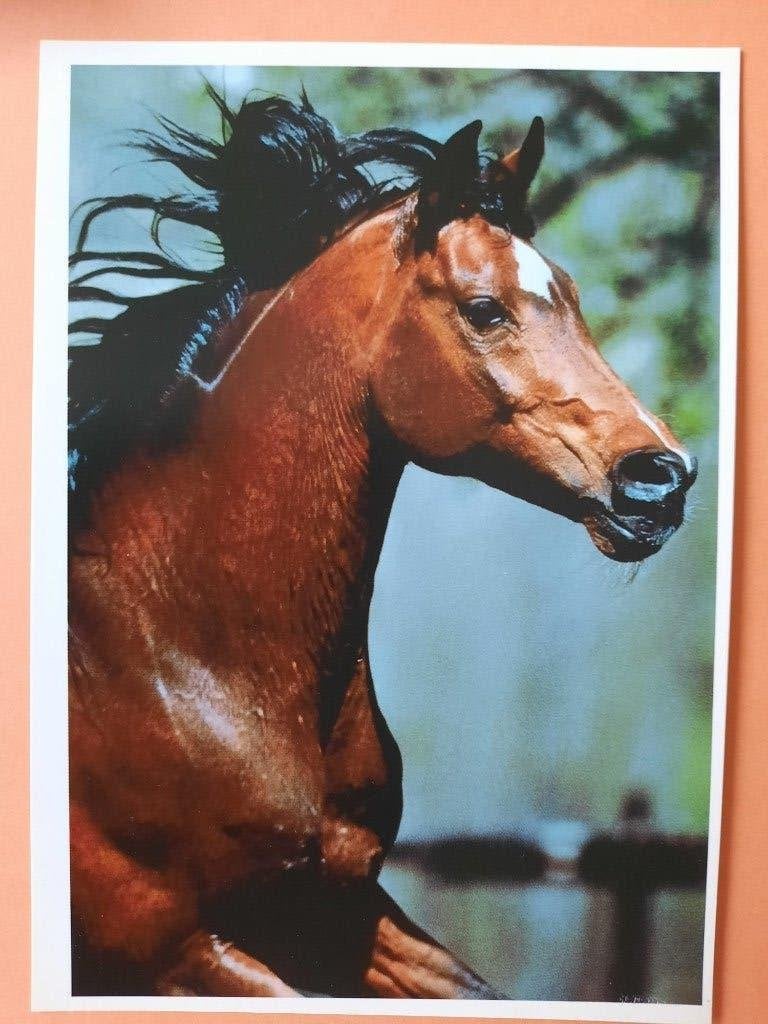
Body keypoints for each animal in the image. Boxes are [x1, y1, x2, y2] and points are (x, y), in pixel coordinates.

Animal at [67, 87, 697, 998]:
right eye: (484, 308)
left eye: (573, 296)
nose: (662, 479)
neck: (180, 651)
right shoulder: (169, 951)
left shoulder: (346, 913)